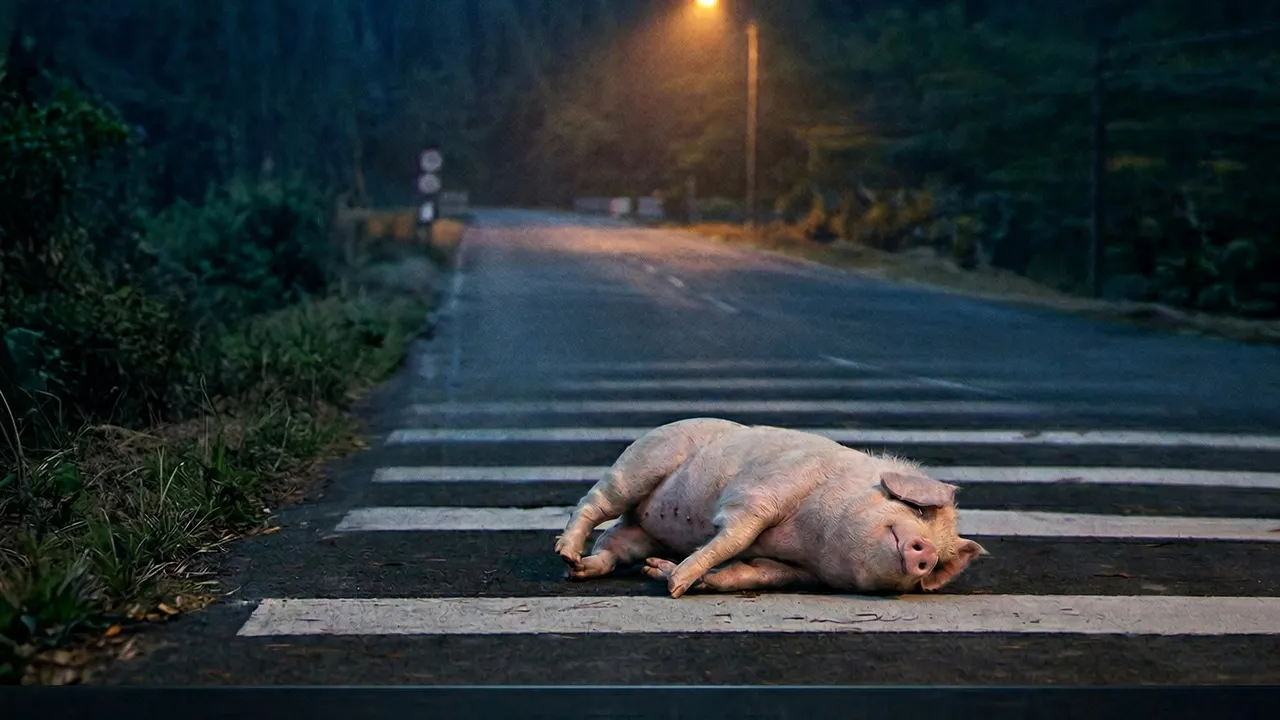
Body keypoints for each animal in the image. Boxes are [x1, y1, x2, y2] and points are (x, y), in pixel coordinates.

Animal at [554, 417, 988, 598]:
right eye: (920, 513)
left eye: (941, 554)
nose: (926, 553)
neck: (816, 540)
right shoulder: (761, 496)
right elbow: (733, 537)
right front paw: (677, 586)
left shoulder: (798, 571)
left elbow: (752, 572)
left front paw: (667, 574)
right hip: (641, 464)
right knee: (593, 502)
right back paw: (565, 553)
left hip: (638, 532)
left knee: (611, 549)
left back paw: (580, 569)